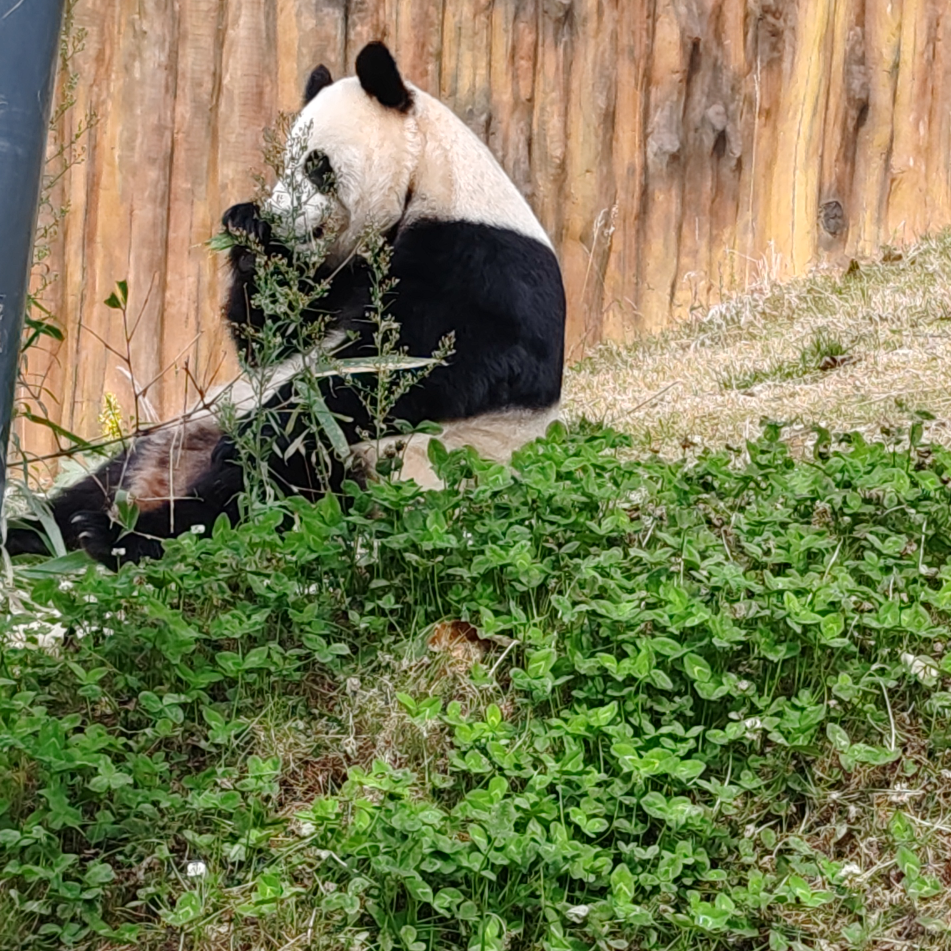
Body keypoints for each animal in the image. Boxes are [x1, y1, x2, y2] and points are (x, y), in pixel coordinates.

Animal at [5, 41, 564, 568]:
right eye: (285, 161)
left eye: (316, 165)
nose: (278, 216)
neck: (429, 180)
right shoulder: (339, 275)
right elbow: (275, 342)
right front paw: (250, 232)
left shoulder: (484, 265)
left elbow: (419, 366)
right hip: (189, 425)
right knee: (106, 477)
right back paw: (37, 530)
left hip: (390, 466)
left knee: (265, 493)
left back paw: (121, 533)